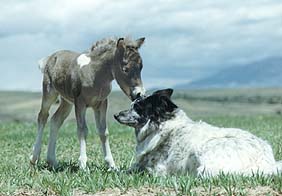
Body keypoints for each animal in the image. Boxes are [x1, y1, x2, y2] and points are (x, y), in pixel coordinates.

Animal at [114, 89, 282, 176]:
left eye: (138, 108)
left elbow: (134, 170)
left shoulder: (157, 168)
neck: (163, 128)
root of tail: (267, 161)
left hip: (206, 150)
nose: (115, 115)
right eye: (131, 105)